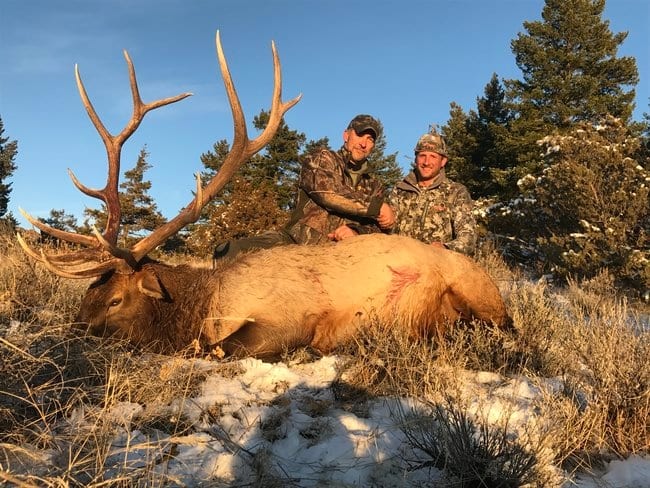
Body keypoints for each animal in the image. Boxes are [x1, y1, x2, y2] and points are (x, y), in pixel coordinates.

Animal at [17, 32, 512, 360]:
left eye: (116, 300)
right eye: (87, 294)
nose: (68, 336)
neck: (208, 304)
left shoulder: (290, 319)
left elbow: (218, 349)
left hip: (479, 293)